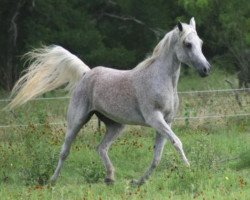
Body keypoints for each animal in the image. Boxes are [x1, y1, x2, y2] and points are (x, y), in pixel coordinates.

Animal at [7, 18, 211, 185]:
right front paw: (190, 170)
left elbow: (157, 156)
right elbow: (177, 142)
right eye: (187, 44)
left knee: (101, 148)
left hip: (115, 125)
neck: (160, 79)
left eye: (200, 43)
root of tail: (86, 73)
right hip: (77, 121)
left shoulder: (166, 121)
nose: (206, 69)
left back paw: (110, 178)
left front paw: (138, 182)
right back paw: (52, 180)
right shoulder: (155, 119)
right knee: (65, 151)